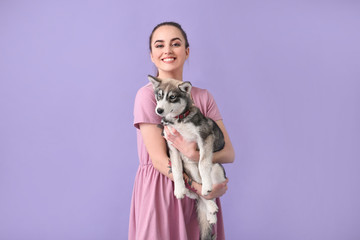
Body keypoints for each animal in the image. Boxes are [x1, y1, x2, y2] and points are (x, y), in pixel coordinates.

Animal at [148, 75, 226, 240]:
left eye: (172, 97)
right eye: (159, 96)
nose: (159, 110)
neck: (179, 120)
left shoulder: (205, 137)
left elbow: (203, 163)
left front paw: (207, 186)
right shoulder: (173, 147)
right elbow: (176, 169)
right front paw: (179, 189)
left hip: (216, 168)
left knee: (209, 192)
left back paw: (211, 205)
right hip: (190, 169)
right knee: (197, 192)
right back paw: (205, 207)